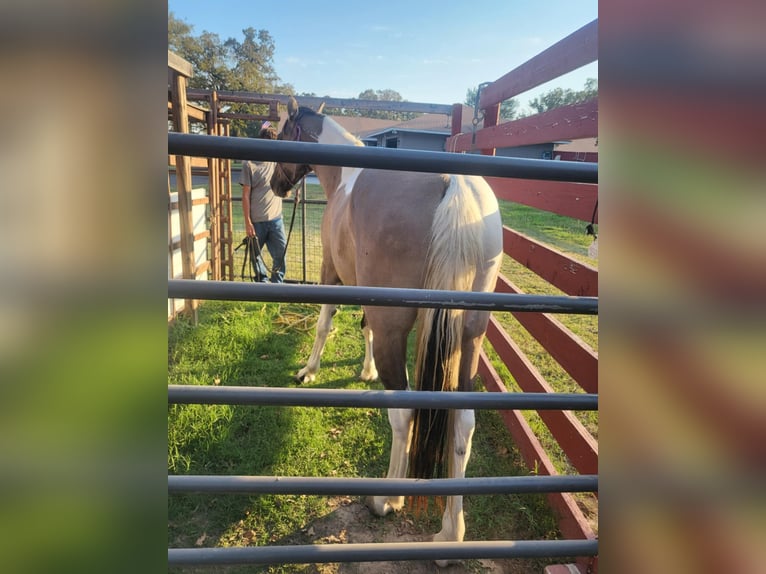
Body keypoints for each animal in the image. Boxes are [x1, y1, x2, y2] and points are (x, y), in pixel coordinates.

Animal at [270, 98, 504, 564]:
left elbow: (325, 323)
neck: (346, 176)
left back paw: (387, 500)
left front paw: (309, 370)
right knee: (463, 423)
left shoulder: (332, 275)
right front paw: (366, 371)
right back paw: (450, 536)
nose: (274, 183)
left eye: (282, 132)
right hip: (469, 338)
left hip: (399, 330)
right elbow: (363, 329)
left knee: (405, 414)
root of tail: (454, 185)